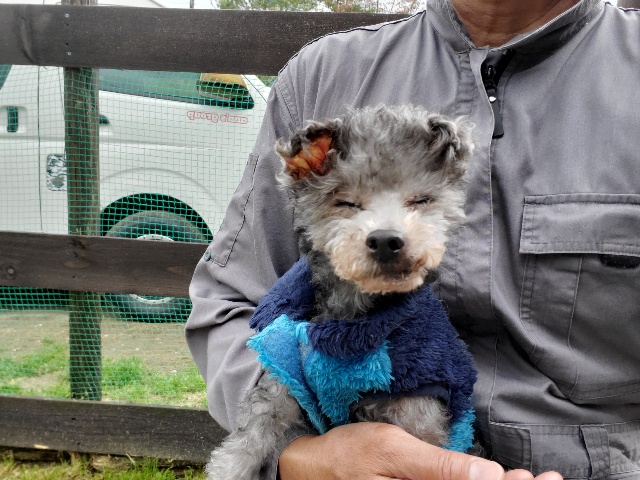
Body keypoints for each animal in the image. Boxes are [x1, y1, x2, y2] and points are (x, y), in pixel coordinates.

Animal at [206, 104, 477, 479]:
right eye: (346, 202)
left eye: (421, 200)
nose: (386, 240)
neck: (351, 320)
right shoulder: (283, 382)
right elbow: (246, 444)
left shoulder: (419, 409)